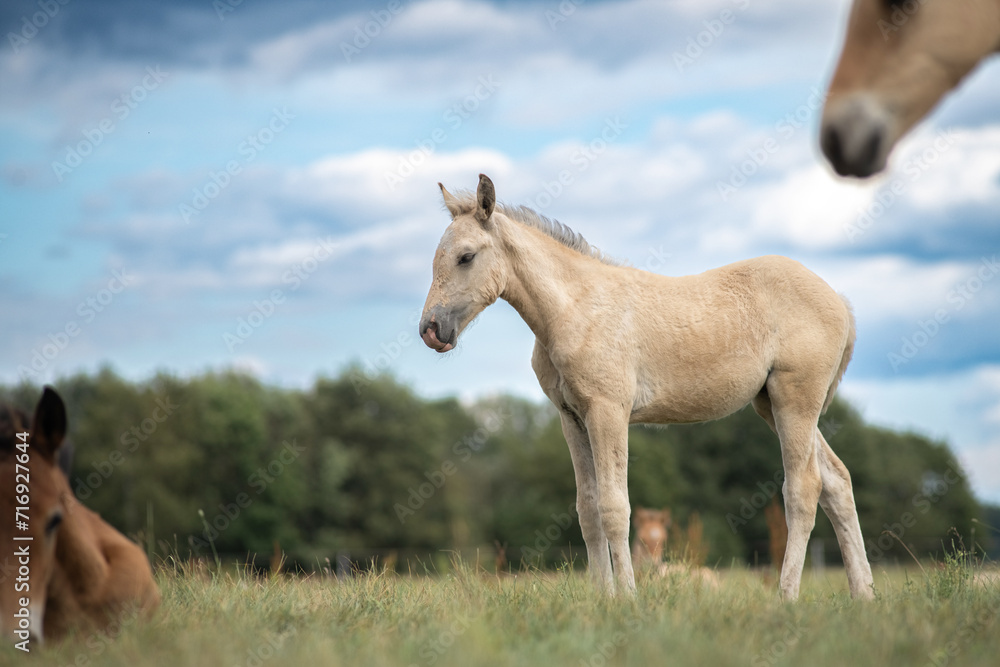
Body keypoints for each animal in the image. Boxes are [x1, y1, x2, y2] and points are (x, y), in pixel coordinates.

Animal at [419, 174, 874, 600]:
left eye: (465, 256)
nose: (431, 330)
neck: (574, 309)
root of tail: (839, 300)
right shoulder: (571, 418)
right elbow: (588, 511)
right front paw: (602, 598)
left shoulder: (608, 411)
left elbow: (614, 508)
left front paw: (627, 598)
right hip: (770, 405)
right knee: (838, 481)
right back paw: (863, 595)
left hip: (795, 400)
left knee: (803, 489)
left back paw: (787, 597)